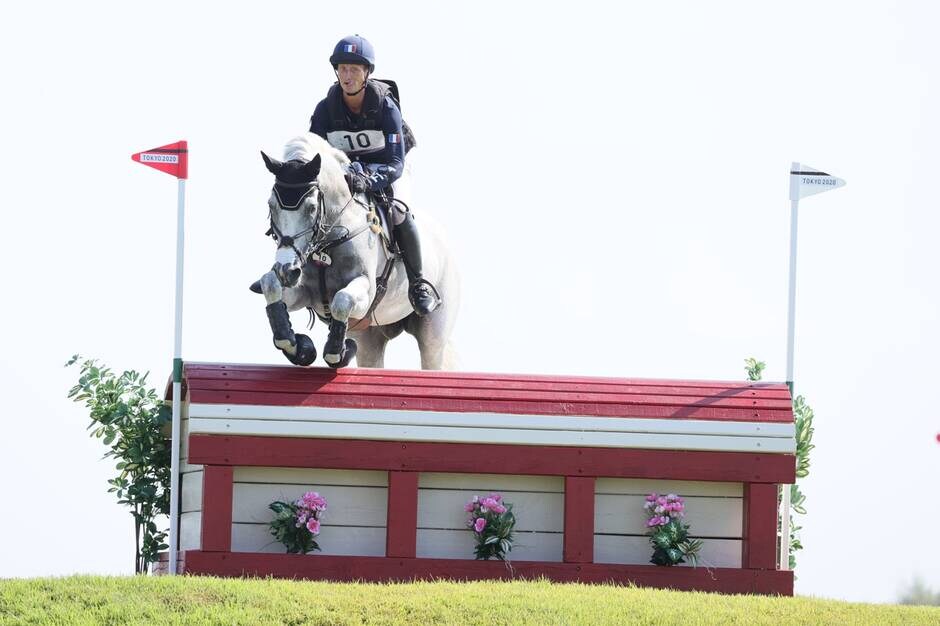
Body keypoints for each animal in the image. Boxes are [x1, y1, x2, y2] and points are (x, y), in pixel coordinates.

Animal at [255, 131, 460, 366]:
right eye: (271, 206)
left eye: (312, 208)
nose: (286, 271)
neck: (327, 244)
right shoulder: (304, 291)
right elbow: (270, 284)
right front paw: (297, 346)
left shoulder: (367, 291)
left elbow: (342, 301)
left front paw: (337, 352)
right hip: (371, 339)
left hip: (433, 335)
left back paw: (422, 295)